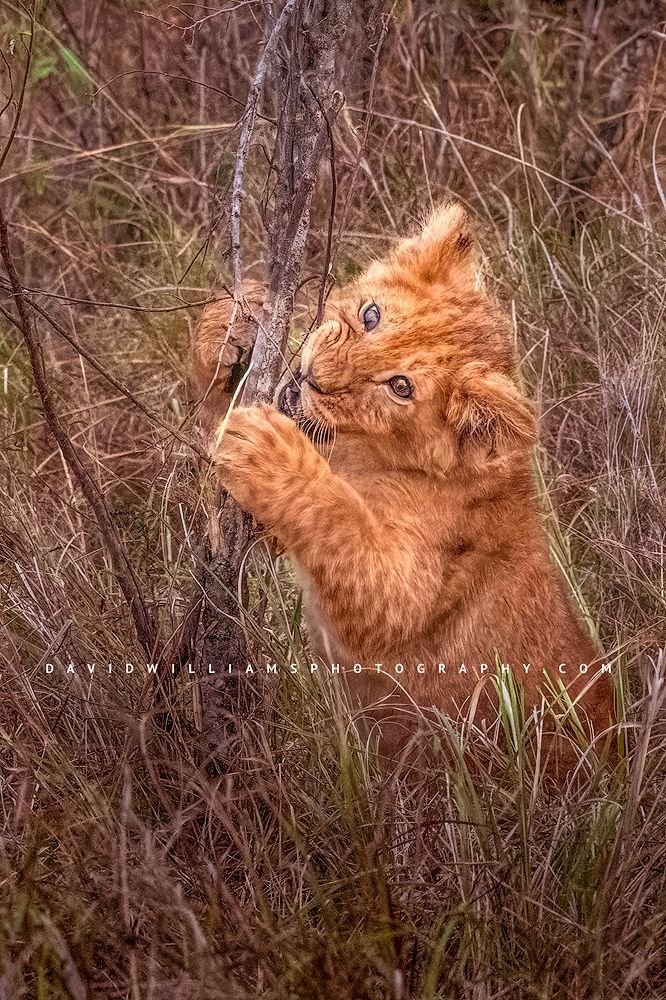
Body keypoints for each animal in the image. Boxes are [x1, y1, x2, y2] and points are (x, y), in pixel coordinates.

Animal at [197, 203, 614, 769]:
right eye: (371, 316)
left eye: (400, 387)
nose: (315, 376)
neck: (357, 452)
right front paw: (231, 322)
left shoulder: (406, 592)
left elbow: (343, 531)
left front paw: (268, 451)